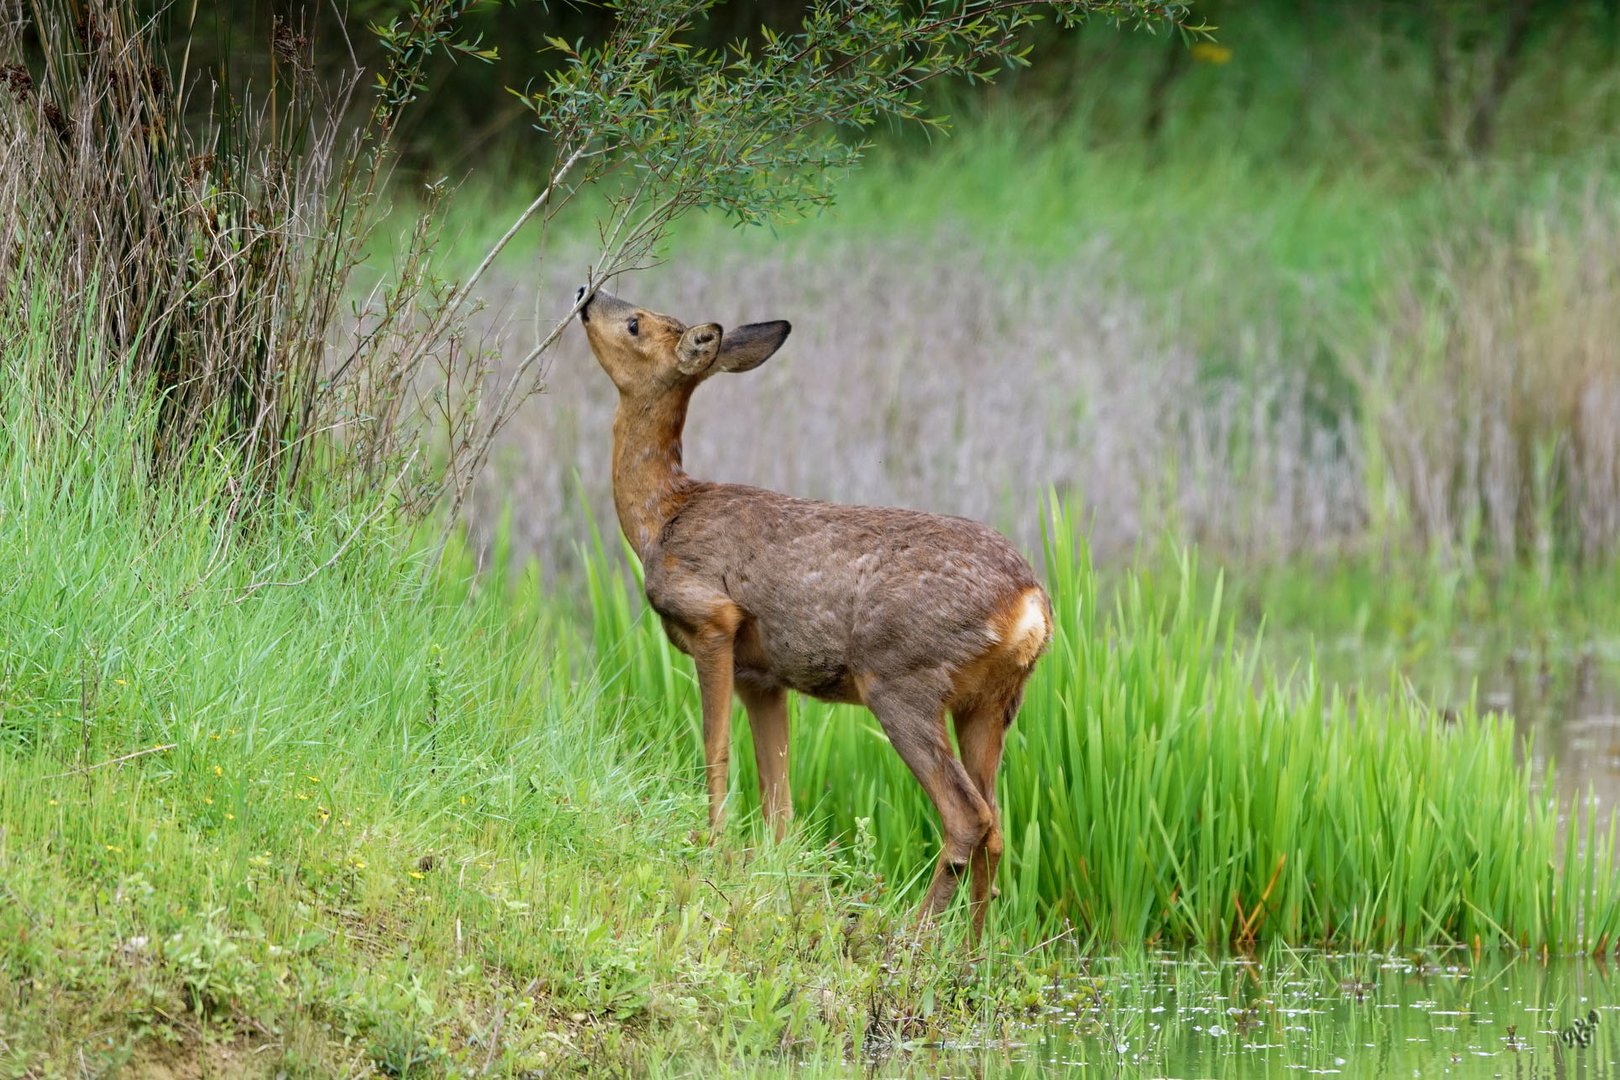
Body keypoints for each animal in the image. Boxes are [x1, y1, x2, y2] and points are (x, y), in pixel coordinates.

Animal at [579, 286, 1049, 939]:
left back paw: (913, 938)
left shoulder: (711, 618)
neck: (663, 517)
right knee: (998, 826)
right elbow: (779, 798)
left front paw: (712, 849)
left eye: (634, 323)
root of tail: (1030, 604)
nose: (586, 293)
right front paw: (768, 875)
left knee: (967, 816)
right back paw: (971, 951)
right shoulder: (763, 678)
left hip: (901, 681)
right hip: (992, 703)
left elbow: (715, 752)